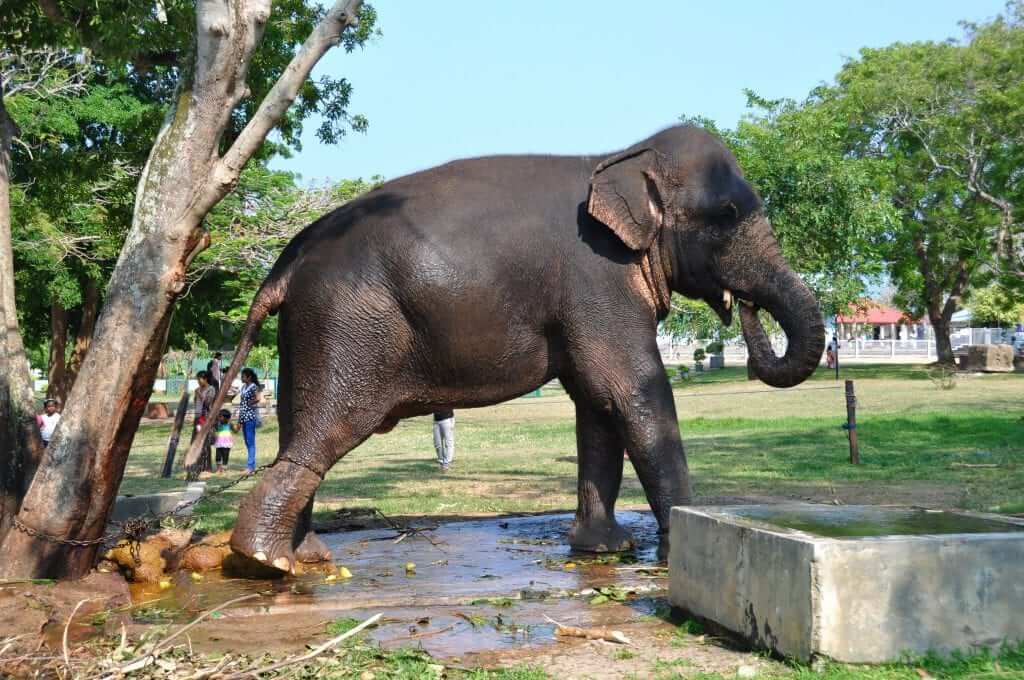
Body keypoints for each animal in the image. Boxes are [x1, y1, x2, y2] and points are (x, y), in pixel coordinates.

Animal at [197, 124, 825, 573]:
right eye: (726, 216)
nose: (744, 307)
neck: (622, 157)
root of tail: (285, 262)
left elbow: (596, 406)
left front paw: (604, 552)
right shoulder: (597, 280)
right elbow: (632, 393)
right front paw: (674, 557)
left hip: (309, 333)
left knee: (298, 430)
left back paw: (305, 557)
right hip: (347, 327)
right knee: (326, 432)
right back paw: (268, 564)